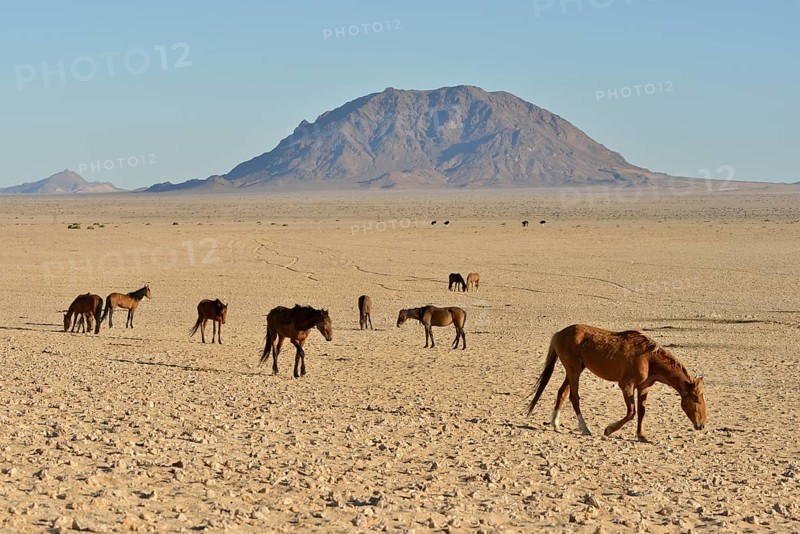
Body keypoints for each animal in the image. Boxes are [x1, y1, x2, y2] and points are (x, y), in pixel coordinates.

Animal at [527, 324, 707, 442]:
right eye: (695, 399)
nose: (701, 425)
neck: (648, 358)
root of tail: (560, 333)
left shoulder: (643, 388)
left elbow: (641, 412)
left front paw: (642, 436)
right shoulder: (626, 385)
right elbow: (632, 412)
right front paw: (609, 430)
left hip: (574, 370)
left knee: (562, 393)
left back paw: (556, 424)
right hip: (574, 370)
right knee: (574, 397)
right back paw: (585, 428)